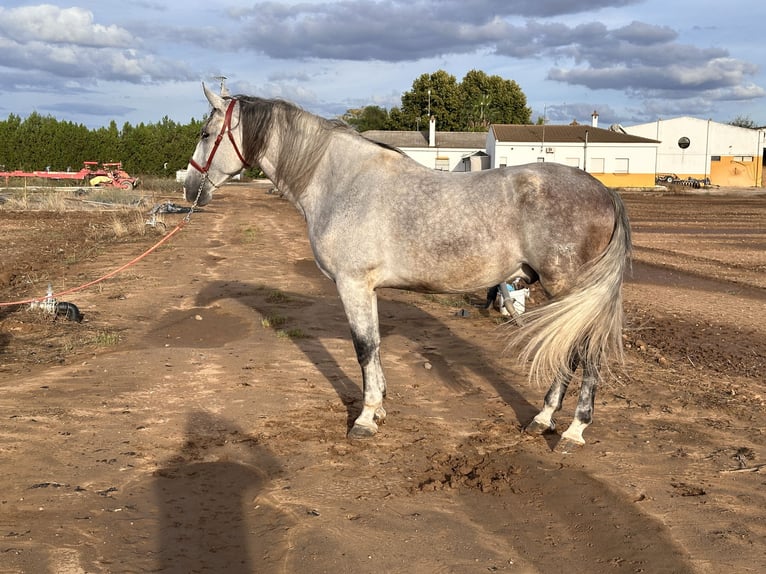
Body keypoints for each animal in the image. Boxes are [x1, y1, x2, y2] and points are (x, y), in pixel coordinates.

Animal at [183, 83, 631, 448]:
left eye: (205, 134)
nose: (190, 188)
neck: (340, 182)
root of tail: (605, 192)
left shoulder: (352, 285)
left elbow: (363, 348)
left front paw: (364, 420)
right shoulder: (366, 289)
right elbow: (376, 347)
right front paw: (379, 409)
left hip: (569, 290)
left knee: (585, 353)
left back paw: (573, 430)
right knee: (570, 353)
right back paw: (543, 419)